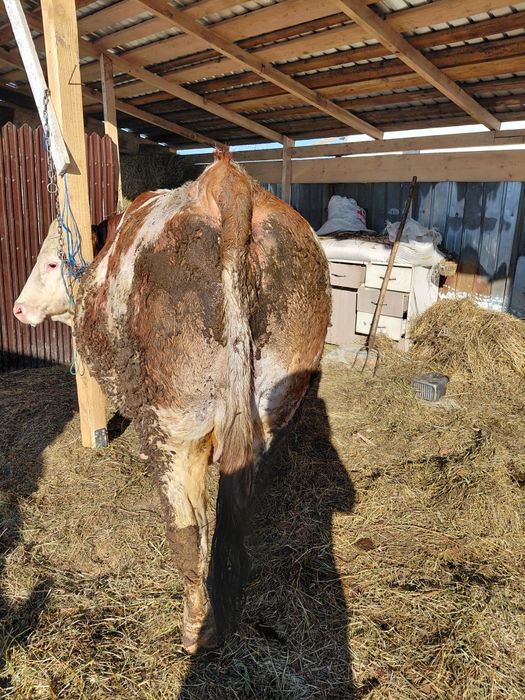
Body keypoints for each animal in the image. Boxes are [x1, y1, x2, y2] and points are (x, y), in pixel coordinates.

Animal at [13, 152, 331, 653]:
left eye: (49, 263)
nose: (18, 309)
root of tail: (227, 184)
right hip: (270, 409)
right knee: (234, 518)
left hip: (174, 426)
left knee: (185, 532)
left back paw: (195, 630)